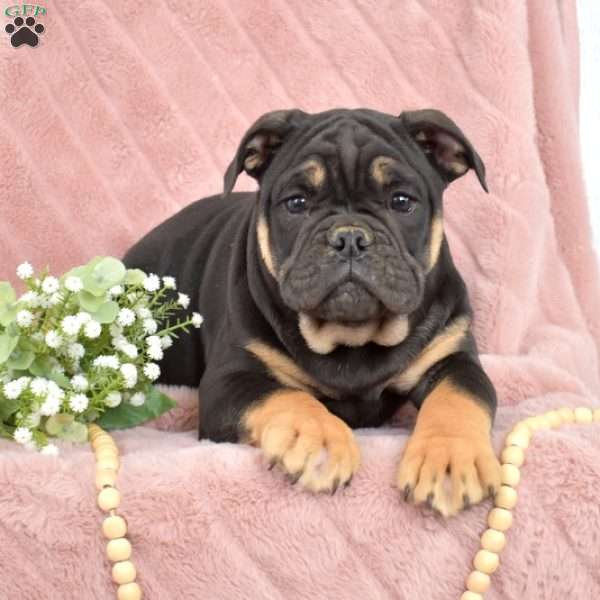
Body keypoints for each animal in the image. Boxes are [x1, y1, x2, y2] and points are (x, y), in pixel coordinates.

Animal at [124, 106, 504, 516]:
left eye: (402, 202)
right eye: (296, 204)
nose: (350, 237)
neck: (352, 335)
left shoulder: (452, 357)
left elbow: (457, 398)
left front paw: (448, 459)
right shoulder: (230, 380)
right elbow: (284, 396)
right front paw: (319, 439)